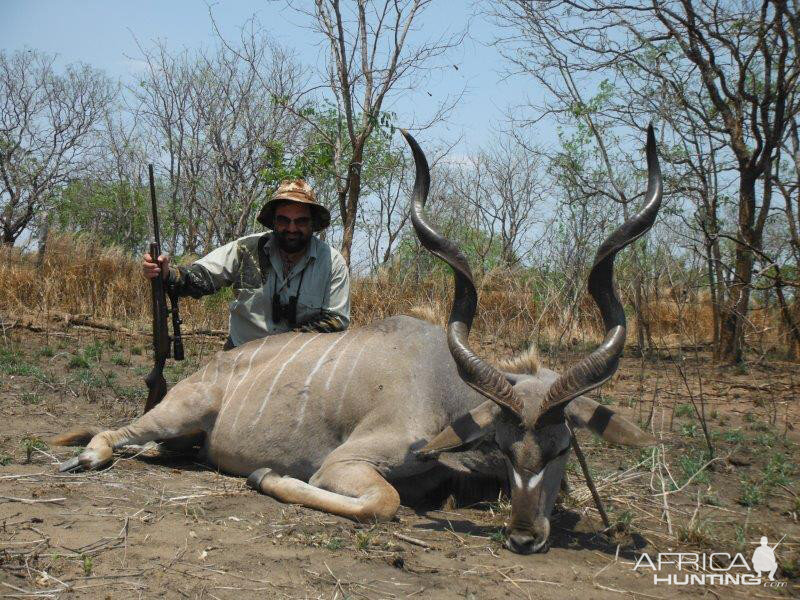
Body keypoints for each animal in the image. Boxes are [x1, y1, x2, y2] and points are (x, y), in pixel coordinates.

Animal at [56, 126, 664, 552]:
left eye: (561, 449)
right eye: (506, 443)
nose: (523, 538)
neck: (442, 387)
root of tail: (210, 372)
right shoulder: (346, 463)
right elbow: (382, 501)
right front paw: (266, 474)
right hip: (180, 410)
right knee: (113, 432)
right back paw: (85, 458)